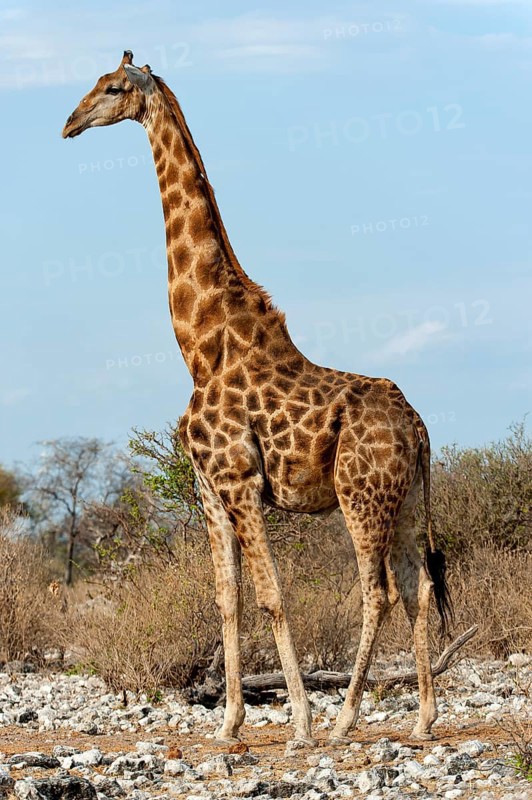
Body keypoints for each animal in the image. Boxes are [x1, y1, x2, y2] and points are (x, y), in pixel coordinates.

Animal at [63, 52, 452, 747]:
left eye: (110, 88)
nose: (69, 123)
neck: (201, 345)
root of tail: (420, 428)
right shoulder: (209, 489)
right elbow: (228, 600)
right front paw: (229, 724)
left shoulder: (240, 481)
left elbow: (271, 595)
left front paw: (297, 720)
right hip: (405, 498)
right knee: (418, 588)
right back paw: (425, 718)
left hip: (360, 495)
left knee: (378, 592)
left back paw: (342, 720)